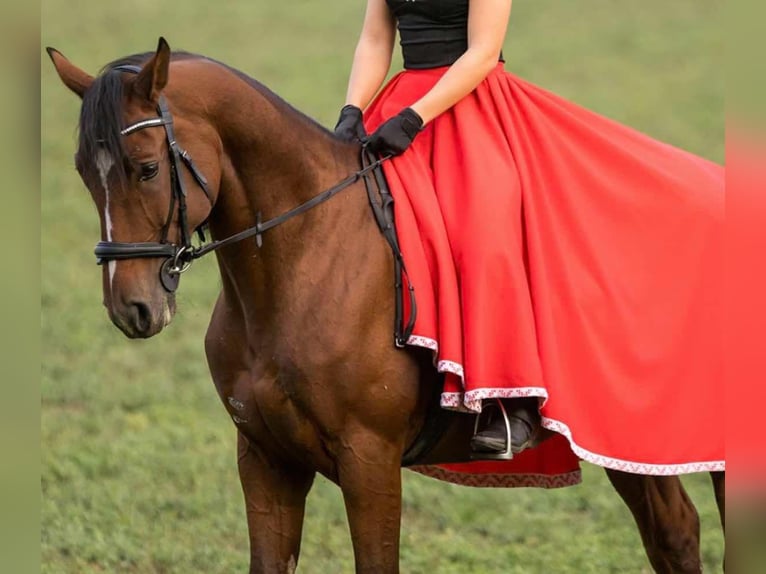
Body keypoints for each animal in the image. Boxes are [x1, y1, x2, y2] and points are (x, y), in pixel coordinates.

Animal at [47, 38, 725, 574]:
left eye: (146, 168)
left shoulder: (369, 462)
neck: (304, 258)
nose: (131, 308)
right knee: (674, 532)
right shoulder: (265, 458)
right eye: (81, 170)